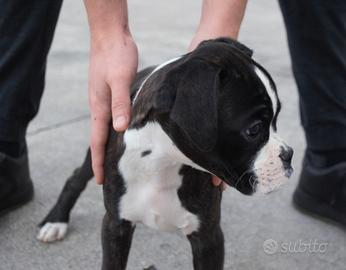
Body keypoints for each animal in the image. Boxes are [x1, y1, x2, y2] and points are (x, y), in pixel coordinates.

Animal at [37, 38, 292, 270]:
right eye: (254, 130)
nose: (289, 155)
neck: (162, 161)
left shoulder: (208, 236)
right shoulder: (115, 226)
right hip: (95, 155)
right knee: (75, 178)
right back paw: (56, 220)